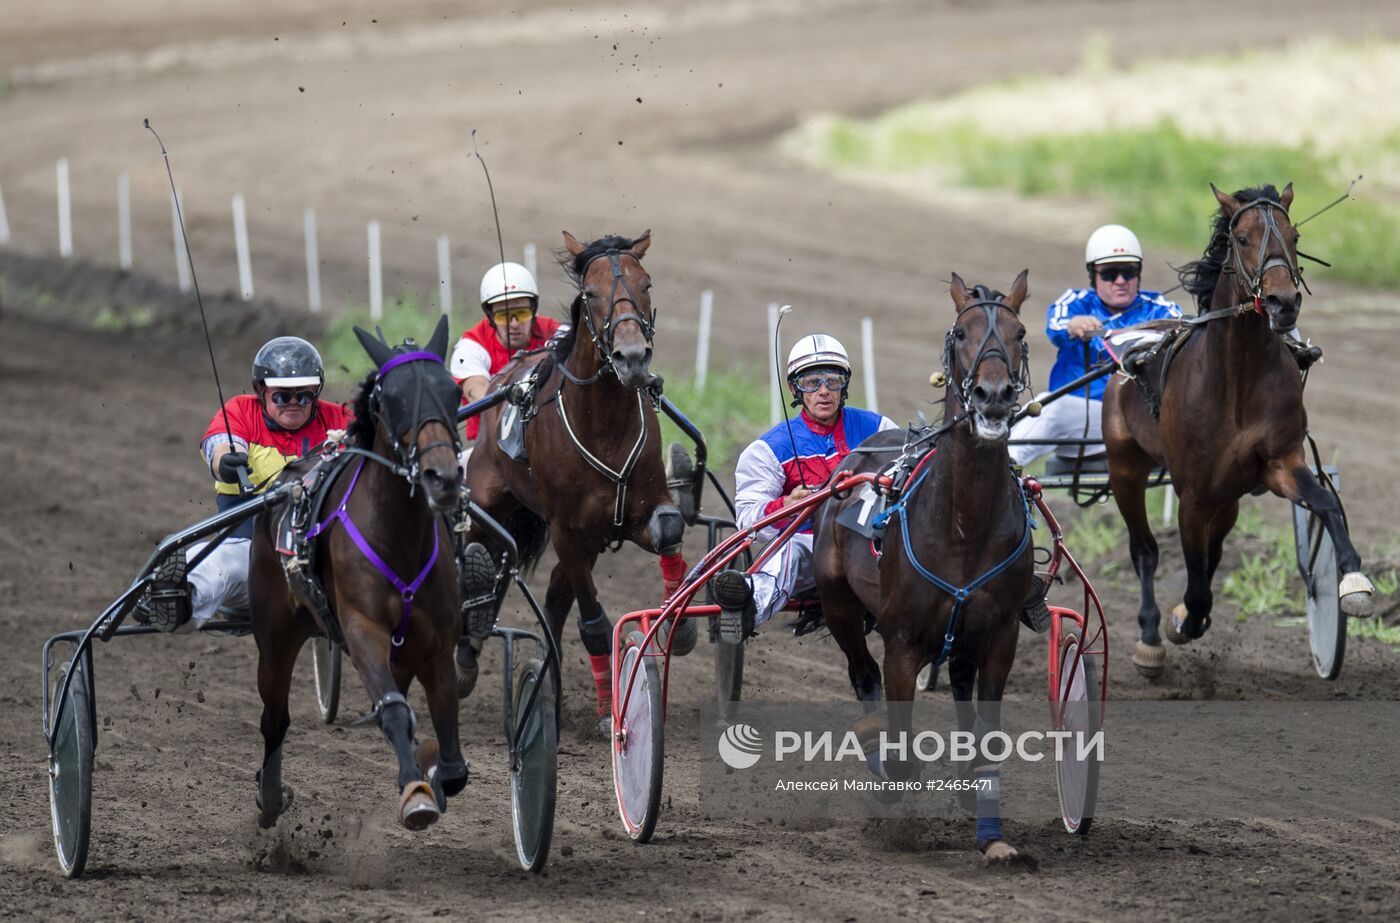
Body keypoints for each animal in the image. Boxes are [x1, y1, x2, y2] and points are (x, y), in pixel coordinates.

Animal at [249, 316, 467, 829]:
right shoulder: (363, 628)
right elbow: (393, 711)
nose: (444, 478)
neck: (400, 539)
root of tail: (288, 478)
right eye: (394, 398)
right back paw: (270, 797)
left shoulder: (437, 644)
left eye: (452, 392)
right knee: (275, 717)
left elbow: (451, 756)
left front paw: (432, 770)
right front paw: (416, 793)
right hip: (275, 634)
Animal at [467, 231, 691, 722]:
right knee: (478, 554)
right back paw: (466, 653)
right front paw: (611, 704)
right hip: (488, 500)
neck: (603, 424)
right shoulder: (566, 531)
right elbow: (592, 623)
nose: (632, 357)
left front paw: (679, 623)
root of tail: (501, 380)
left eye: (647, 285)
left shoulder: (634, 514)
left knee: (553, 594)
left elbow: (670, 527)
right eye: (590, 293)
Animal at [817, 270, 1036, 862]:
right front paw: (889, 771)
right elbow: (900, 747)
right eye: (961, 332)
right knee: (861, 672)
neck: (964, 524)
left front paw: (994, 838)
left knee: (958, 680)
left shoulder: (1001, 635)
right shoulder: (903, 642)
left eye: (1019, 333)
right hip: (839, 602)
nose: (993, 395)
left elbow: (987, 733)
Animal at [1103, 183, 1377, 675]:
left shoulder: (1280, 463)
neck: (1238, 377)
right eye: (1243, 238)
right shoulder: (1193, 494)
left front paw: (1353, 581)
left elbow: (1327, 503)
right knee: (1145, 549)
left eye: (1294, 234)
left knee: (1213, 548)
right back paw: (1151, 636)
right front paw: (1183, 620)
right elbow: (1195, 584)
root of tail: (1129, 348)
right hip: (1124, 469)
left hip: (1227, 497)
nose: (1283, 303)